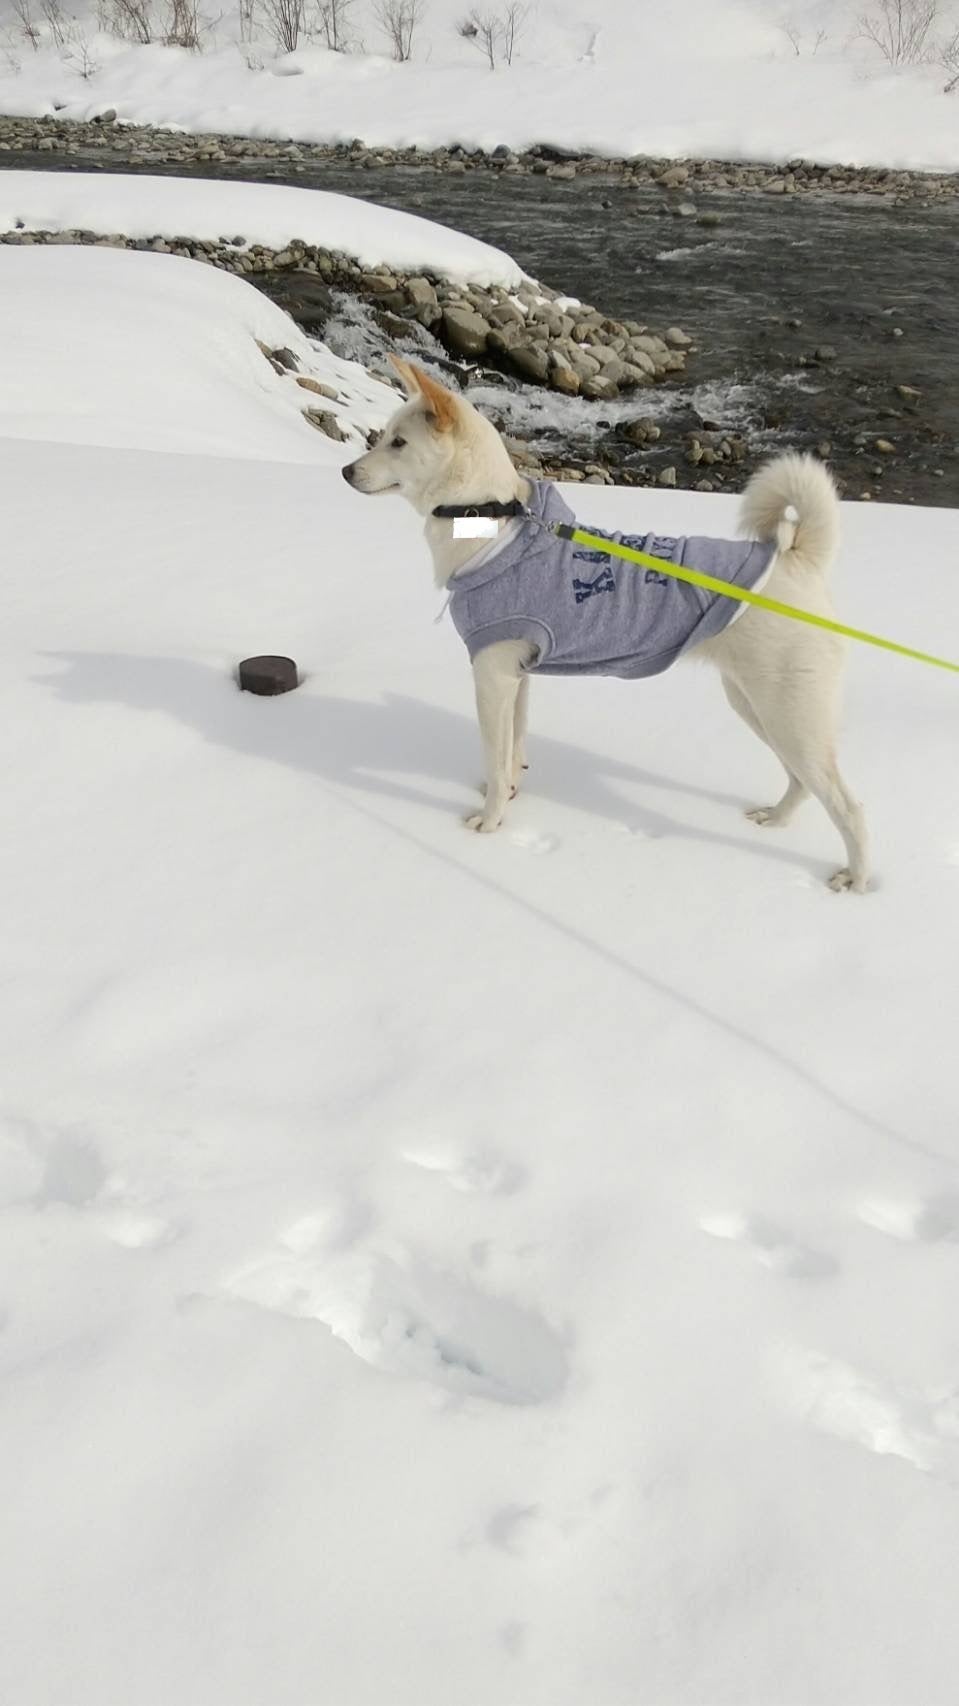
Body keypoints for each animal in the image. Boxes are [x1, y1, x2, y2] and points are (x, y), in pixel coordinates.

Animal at [343, 357, 869, 893]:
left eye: (398, 443)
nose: (346, 471)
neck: (491, 520)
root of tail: (798, 560)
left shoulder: (491, 678)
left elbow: (494, 752)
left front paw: (489, 823)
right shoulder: (518, 677)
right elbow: (514, 749)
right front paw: (507, 791)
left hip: (788, 712)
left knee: (848, 805)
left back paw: (856, 880)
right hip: (757, 705)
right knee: (802, 781)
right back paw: (775, 821)